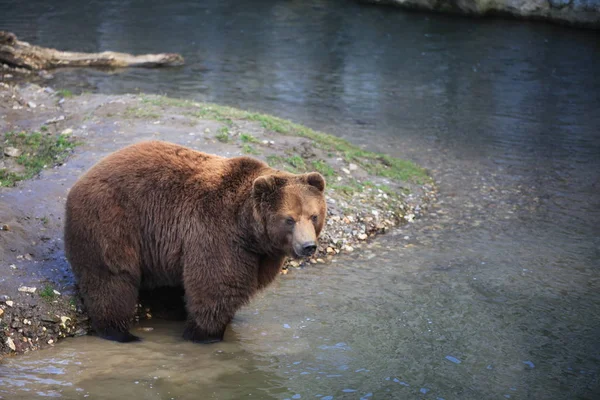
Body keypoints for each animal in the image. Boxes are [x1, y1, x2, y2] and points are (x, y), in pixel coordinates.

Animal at [63, 141, 326, 344]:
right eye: (289, 219)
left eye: (313, 216)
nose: (308, 246)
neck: (249, 232)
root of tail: (80, 180)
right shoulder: (217, 234)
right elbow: (215, 287)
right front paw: (205, 334)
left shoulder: (261, 255)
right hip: (112, 220)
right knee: (111, 278)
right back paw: (120, 332)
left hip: (153, 246)